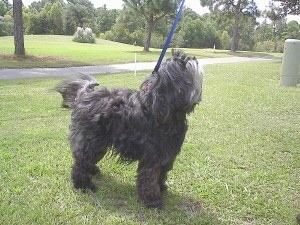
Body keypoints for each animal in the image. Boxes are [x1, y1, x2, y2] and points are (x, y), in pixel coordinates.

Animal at [55, 51, 203, 209]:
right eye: (182, 63)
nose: (193, 58)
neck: (160, 110)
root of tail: (84, 96)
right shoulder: (153, 158)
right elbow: (149, 178)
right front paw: (152, 201)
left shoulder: (166, 156)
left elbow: (161, 174)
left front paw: (162, 188)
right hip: (91, 141)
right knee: (80, 163)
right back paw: (83, 185)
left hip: (98, 144)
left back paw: (92, 172)